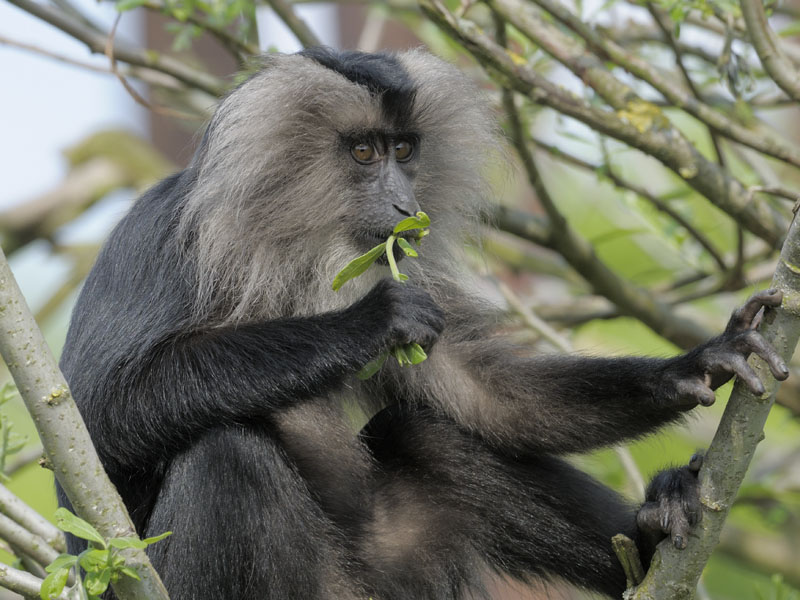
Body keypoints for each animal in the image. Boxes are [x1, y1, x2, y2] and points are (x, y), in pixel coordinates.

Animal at [58, 47, 789, 600]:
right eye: (362, 153)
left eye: (405, 150)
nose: (407, 206)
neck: (293, 258)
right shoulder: (163, 244)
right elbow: (99, 411)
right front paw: (371, 321)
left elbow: (487, 396)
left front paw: (697, 365)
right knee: (226, 454)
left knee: (429, 438)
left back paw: (657, 529)